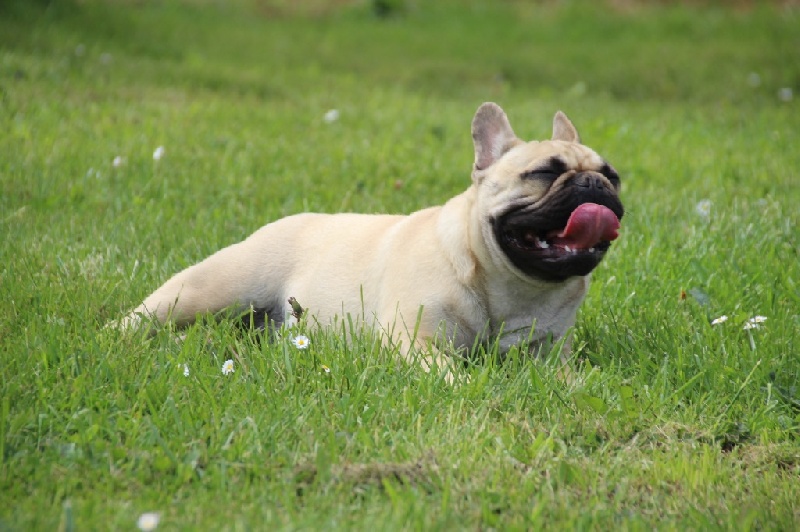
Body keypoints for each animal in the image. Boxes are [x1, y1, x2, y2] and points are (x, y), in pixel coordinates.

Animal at [114, 103, 624, 374]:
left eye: (614, 176)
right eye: (544, 174)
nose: (595, 186)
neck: (512, 285)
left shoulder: (549, 354)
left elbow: (564, 376)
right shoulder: (414, 342)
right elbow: (447, 373)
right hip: (210, 288)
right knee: (143, 315)